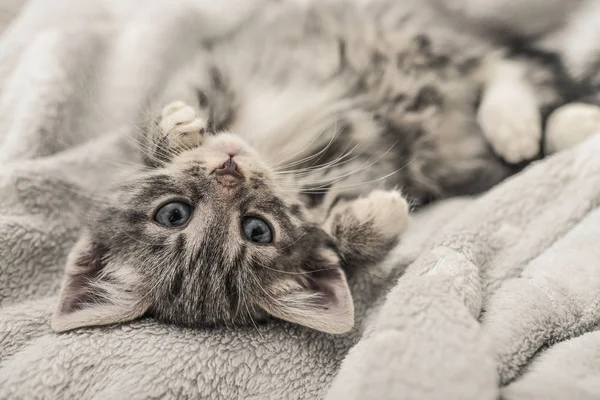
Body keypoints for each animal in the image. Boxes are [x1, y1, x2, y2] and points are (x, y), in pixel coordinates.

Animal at [52, 0, 600, 334]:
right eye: (257, 230)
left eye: (172, 213)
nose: (230, 171)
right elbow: (344, 239)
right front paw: (380, 217)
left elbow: (152, 130)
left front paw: (174, 128)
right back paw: (559, 128)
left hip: (406, 32)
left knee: (501, 62)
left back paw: (513, 122)